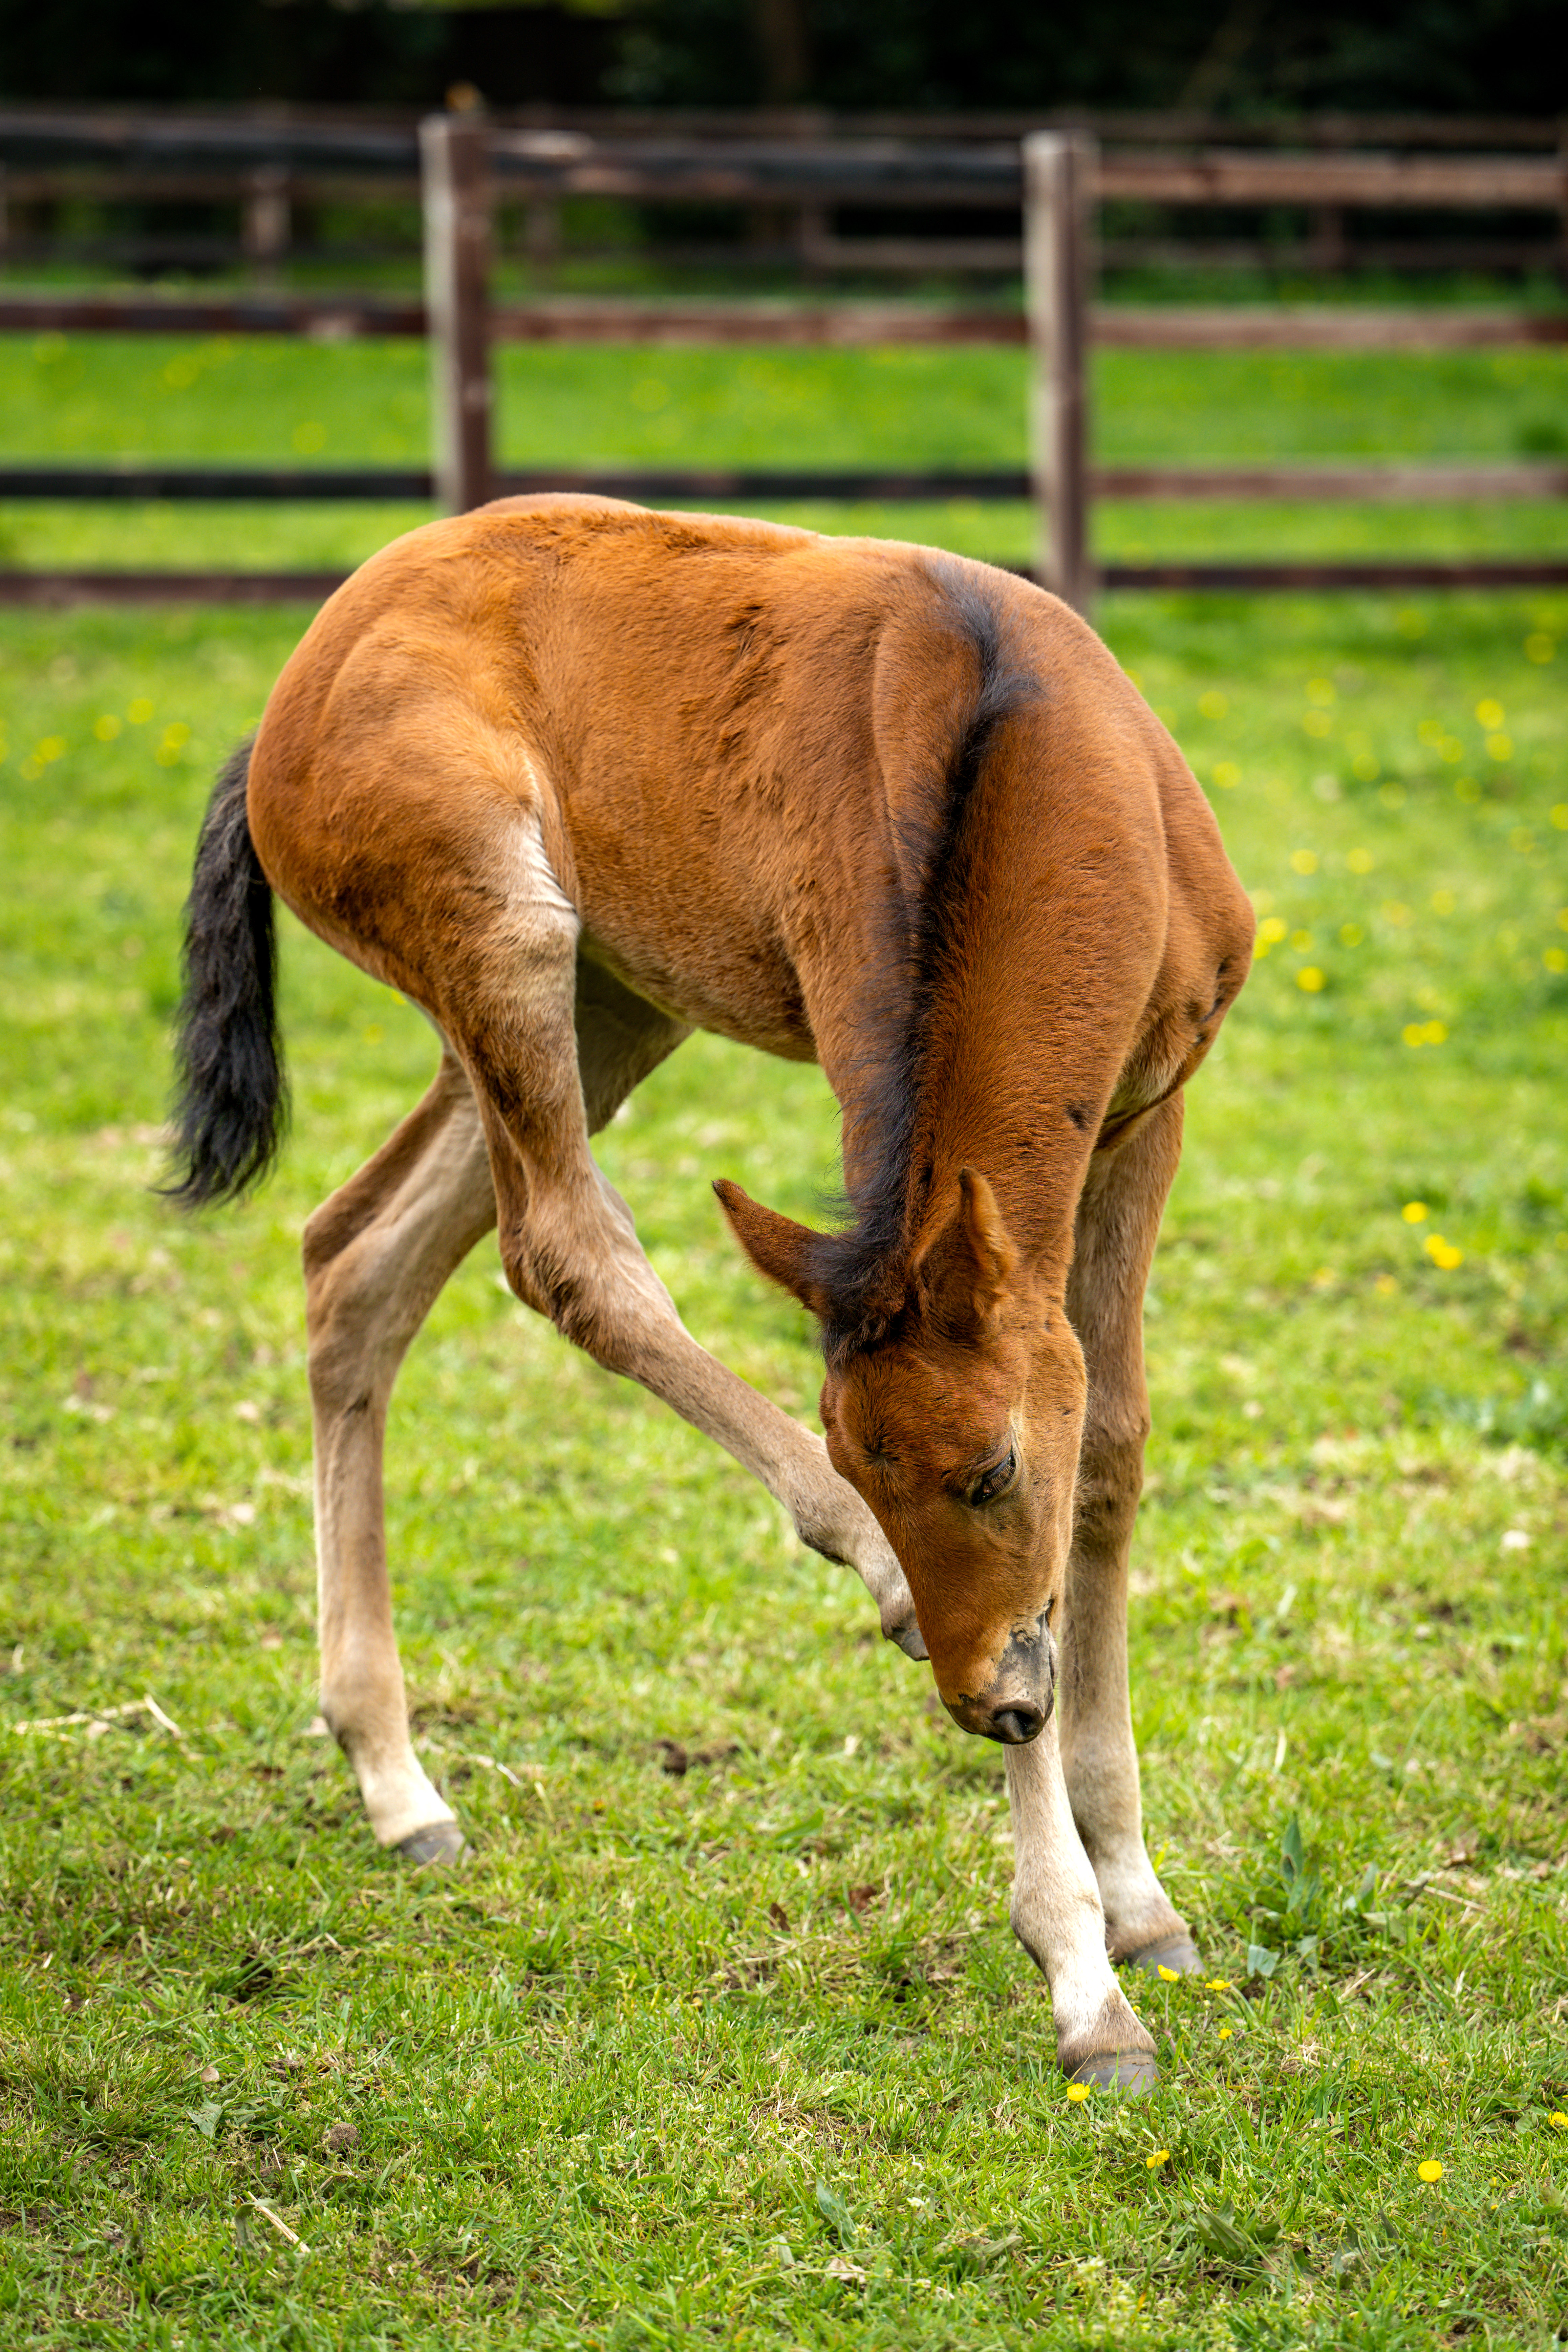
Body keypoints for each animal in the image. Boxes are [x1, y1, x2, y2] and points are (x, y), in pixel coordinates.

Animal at [169, 491, 1250, 2079]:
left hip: (615, 993)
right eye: (871, 1458)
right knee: (559, 1251)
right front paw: (1079, 1973)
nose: (990, 1702)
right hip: (504, 932)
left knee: (356, 1258)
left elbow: (1102, 1454)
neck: (1030, 759)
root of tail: (284, 700)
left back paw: (394, 1780)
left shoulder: (1147, 1111)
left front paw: (1138, 1898)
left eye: (989, 1471)